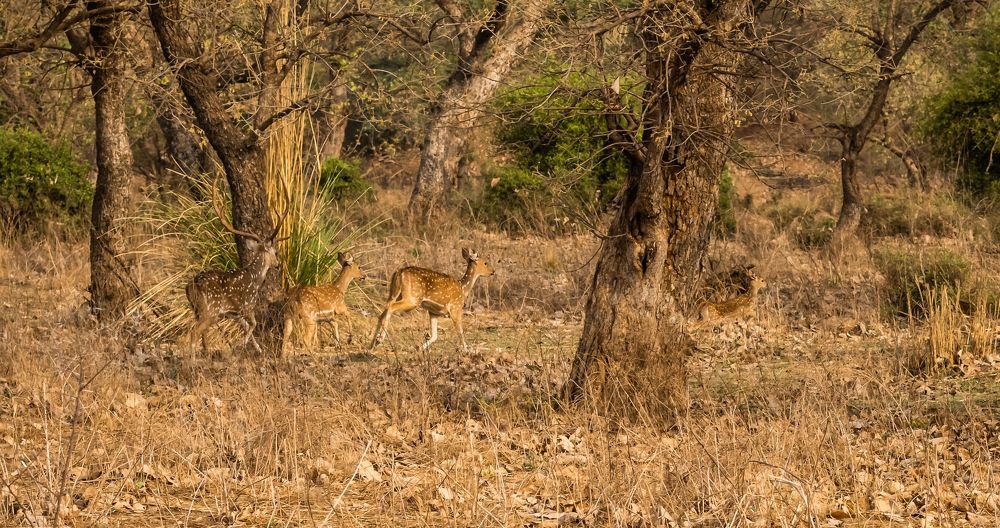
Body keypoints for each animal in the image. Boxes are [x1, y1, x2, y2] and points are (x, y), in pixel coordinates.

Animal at [186, 179, 288, 355]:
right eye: (275, 252)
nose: (277, 265)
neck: (255, 279)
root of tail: (191, 286)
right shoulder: (247, 305)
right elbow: (253, 325)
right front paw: (241, 344)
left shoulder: (233, 313)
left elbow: (248, 327)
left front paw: (258, 349)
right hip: (209, 310)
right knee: (194, 332)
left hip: (197, 310)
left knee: (201, 333)